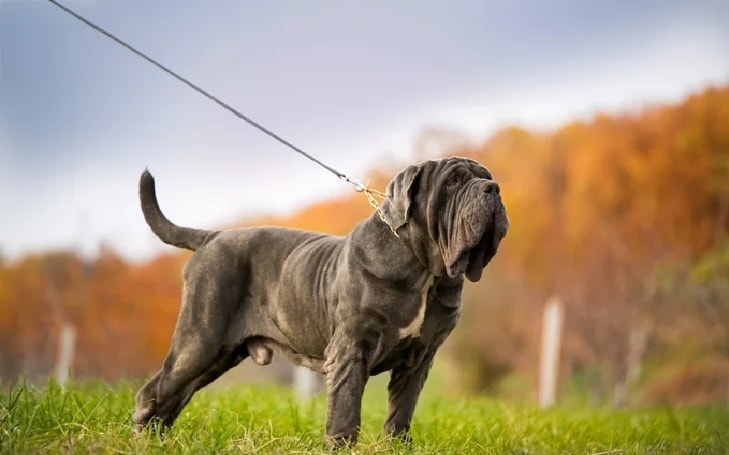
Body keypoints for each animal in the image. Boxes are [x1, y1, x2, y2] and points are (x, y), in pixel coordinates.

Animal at [132, 157, 506, 448]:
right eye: (453, 181)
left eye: (486, 176)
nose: (493, 188)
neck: (426, 269)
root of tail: (213, 236)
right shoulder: (351, 348)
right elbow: (345, 409)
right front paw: (340, 446)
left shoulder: (419, 358)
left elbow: (400, 412)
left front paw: (397, 446)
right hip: (200, 341)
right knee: (153, 392)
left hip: (218, 354)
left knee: (173, 397)